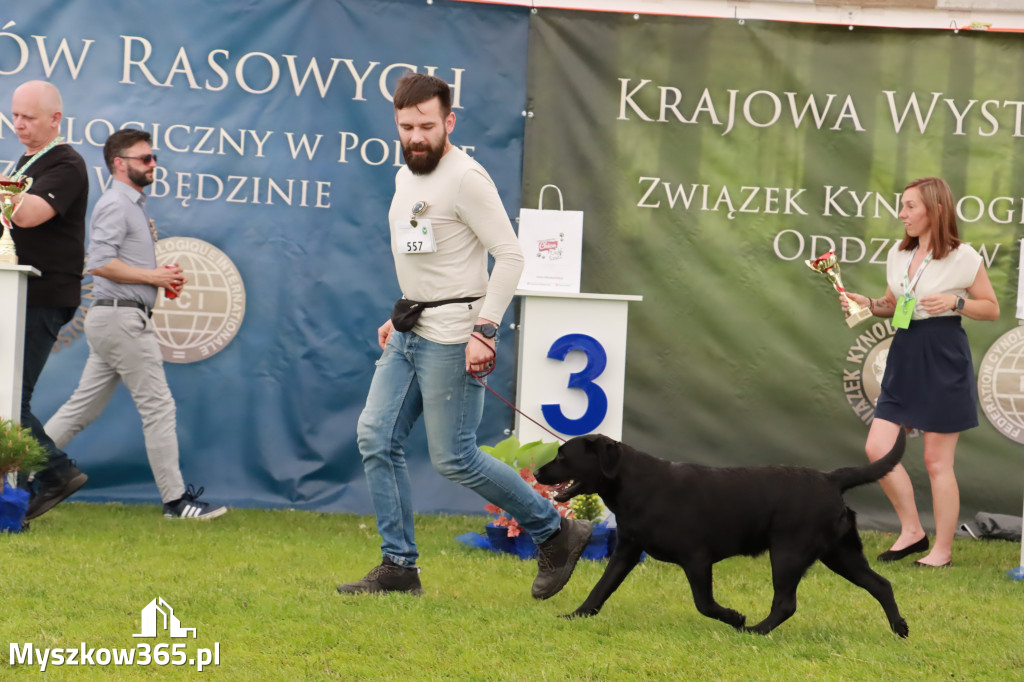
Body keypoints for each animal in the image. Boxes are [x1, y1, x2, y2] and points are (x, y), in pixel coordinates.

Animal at [532, 428, 909, 634]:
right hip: (840, 553)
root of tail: (831, 478)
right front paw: (575, 615)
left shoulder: (696, 558)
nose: (535, 472)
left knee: (786, 602)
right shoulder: (626, 550)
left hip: (788, 553)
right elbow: (600, 589)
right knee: (881, 584)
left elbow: (704, 603)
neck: (636, 484)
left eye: (563, 456)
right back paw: (899, 628)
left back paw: (754, 630)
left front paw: (735, 617)